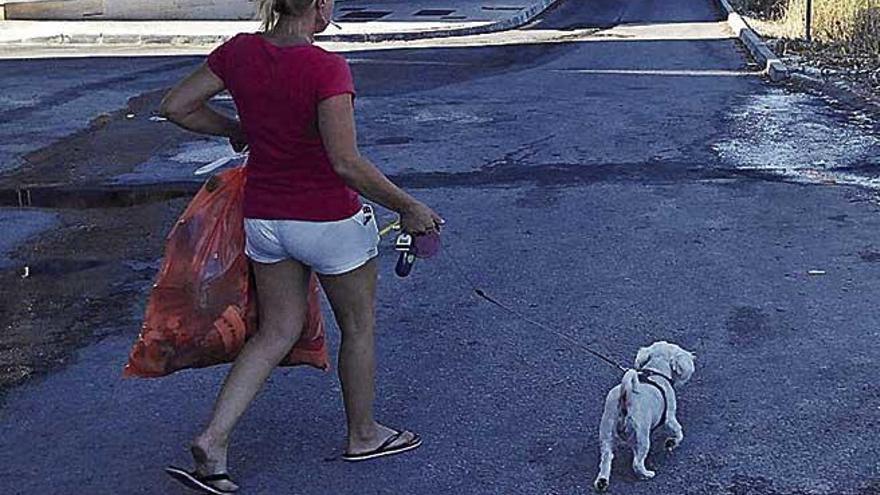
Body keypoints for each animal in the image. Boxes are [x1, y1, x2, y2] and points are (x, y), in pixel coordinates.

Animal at [592, 340, 696, 492]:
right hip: (641, 437)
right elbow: (678, 430)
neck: (656, 372)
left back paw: (602, 482)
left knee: (606, 459)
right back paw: (646, 474)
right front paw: (673, 442)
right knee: (637, 462)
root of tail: (626, 397)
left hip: (607, 431)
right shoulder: (670, 417)